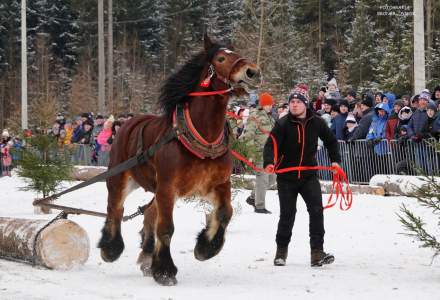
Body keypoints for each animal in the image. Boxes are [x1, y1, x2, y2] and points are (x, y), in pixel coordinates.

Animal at [98, 35, 260, 286]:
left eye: (237, 53)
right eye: (221, 58)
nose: (252, 71)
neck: (202, 136)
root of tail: (125, 123)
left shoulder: (218, 184)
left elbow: (225, 213)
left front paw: (205, 247)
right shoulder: (168, 187)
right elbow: (166, 228)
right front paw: (165, 271)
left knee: (148, 212)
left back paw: (147, 254)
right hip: (119, 179)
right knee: (115, 209)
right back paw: (111, 249)